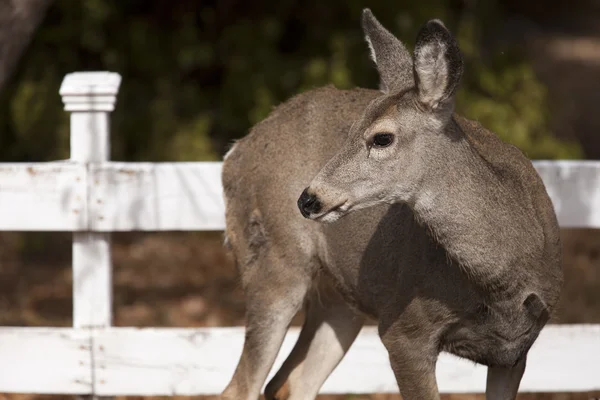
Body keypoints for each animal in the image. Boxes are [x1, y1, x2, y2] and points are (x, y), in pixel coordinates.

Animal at [219, 8, 564, 400]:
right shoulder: (404, 330)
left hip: (341, 300)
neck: (503, 283)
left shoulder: (515, 352)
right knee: (241, 386)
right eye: (349, 131)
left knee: (291, 382)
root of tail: (234, 153)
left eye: (381, 138)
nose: (309, 199)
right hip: (275, 261)